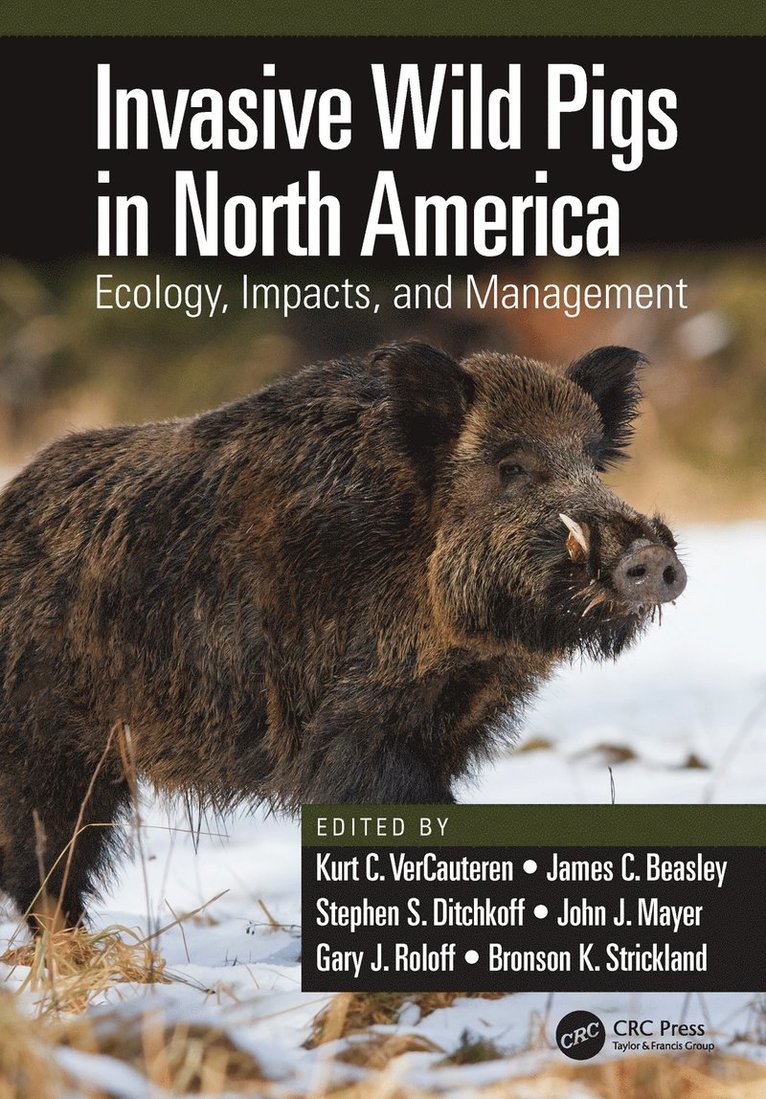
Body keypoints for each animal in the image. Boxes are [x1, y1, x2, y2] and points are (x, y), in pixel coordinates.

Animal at [0, 342, 685, 928]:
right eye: (510, 466)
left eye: (593, 463)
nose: (652, 557)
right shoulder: (348, 724)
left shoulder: (447, 724)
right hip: (49, 743)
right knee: (44, 857)